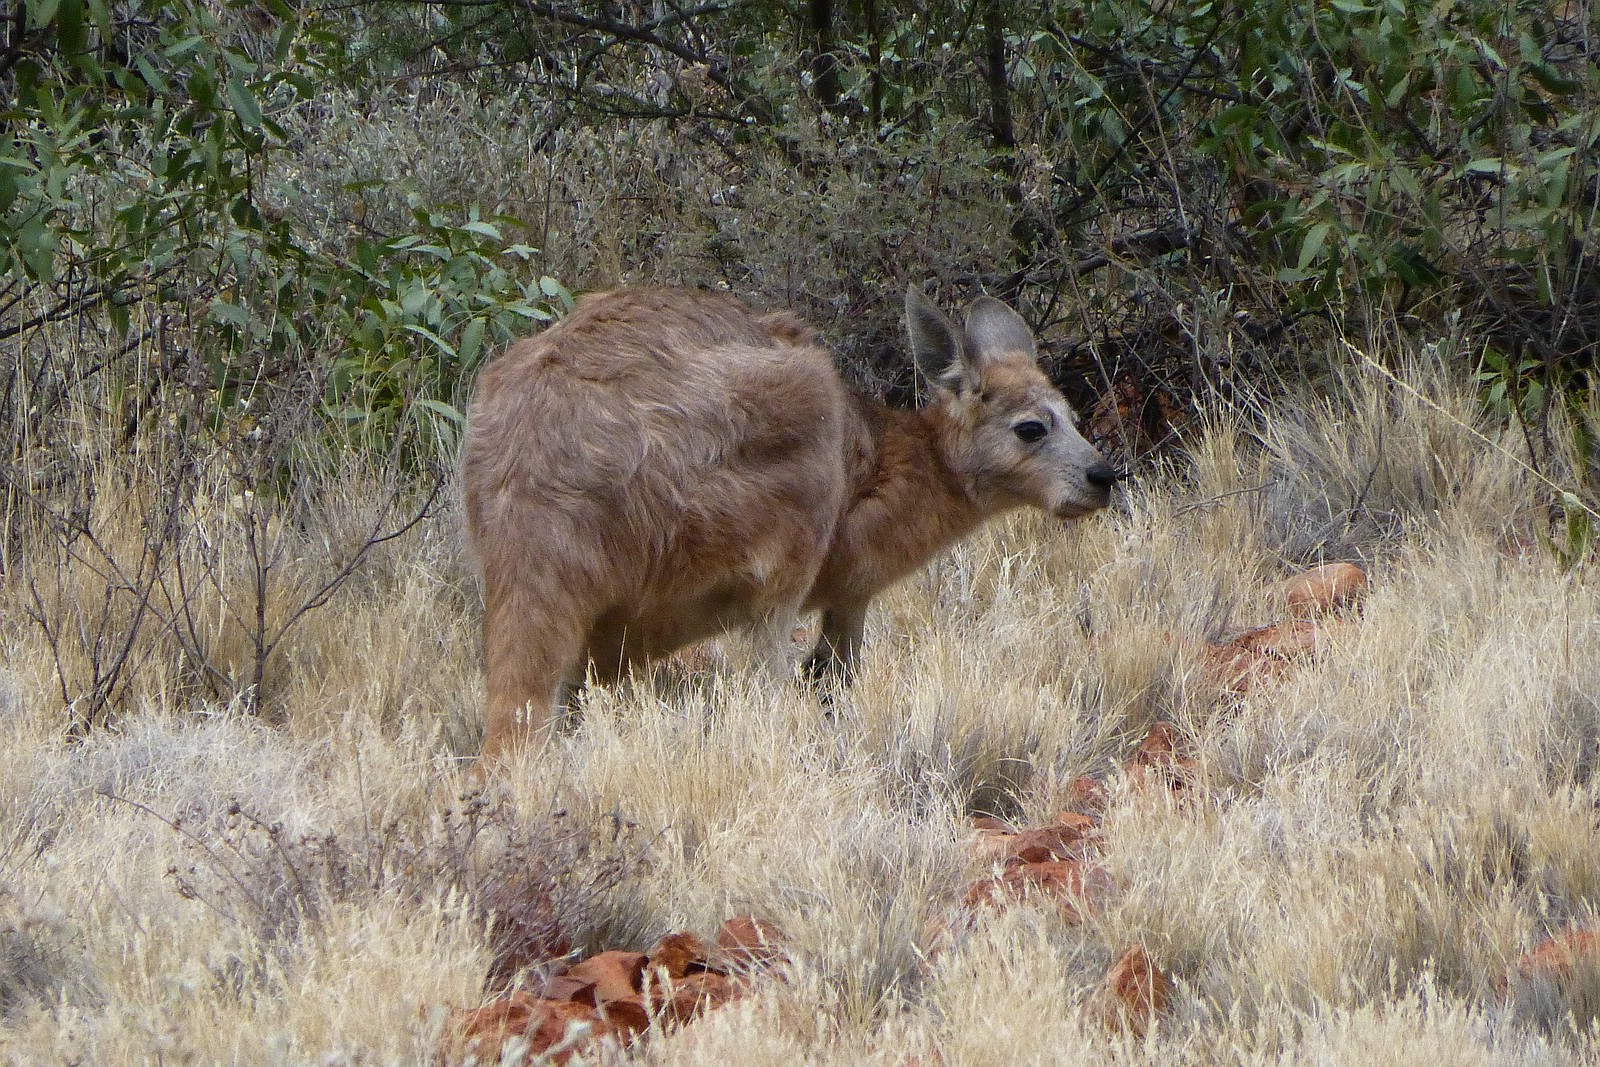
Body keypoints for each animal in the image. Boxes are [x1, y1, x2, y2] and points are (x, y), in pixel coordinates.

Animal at [461, 285, 1122, 764]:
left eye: (1072, 417)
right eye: (1031, 430)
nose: (1104, 477)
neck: (912, 461)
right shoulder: (846, 579)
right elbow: (836, 669)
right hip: (781, 488)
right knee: (763, 672)